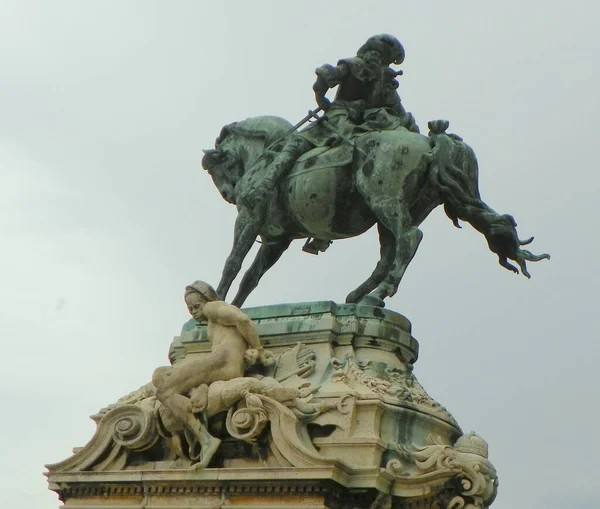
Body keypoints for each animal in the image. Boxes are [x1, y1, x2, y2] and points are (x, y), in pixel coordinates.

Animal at [203, 115, 548, 306]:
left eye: (215, 169)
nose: (229, 193)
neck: (267, 154)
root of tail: (432, 142)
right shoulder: (278, 240)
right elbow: (251, 277)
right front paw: (233, 309)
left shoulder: (248, 218)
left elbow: (233, 263)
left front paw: (213, 303)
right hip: (393, 212)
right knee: (389, 254)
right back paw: (359, 296)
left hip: (383, 201)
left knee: (410, 238)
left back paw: (376, 295)